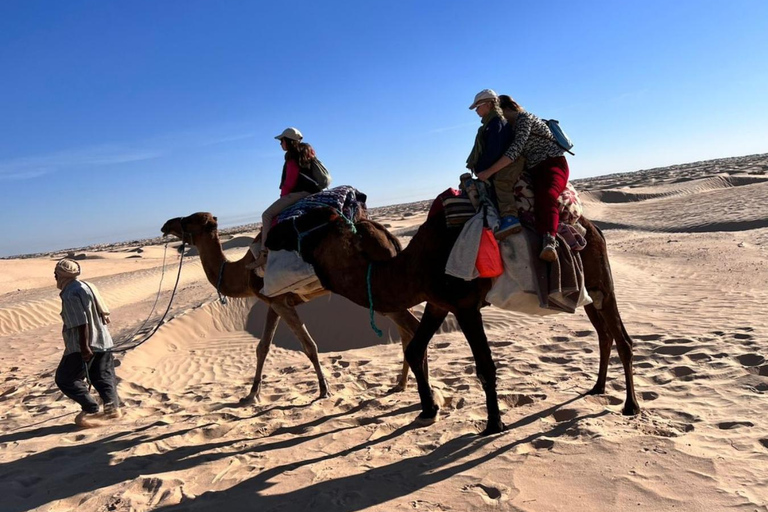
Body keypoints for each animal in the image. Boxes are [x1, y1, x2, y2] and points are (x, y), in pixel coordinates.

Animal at [158, 212, 416, 404]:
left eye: (189, 219)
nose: (166, 224)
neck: (242, 272)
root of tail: (383, 233)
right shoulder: (274, 302)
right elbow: (262, 347)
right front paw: (251, 395)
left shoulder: (280, 302)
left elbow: (309, 345)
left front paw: (324, 390)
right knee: (406, 330)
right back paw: (400, 385)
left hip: (364, 285)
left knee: (411, 327)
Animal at [284, 205, 640, 436]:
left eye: (320, 220)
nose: (279, 233)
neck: (414, 267)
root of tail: (594, 229)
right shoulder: (438, 303)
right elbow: (414, 348)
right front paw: (428, 410)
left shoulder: (466, 306)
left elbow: (484, 365)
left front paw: (494, 424)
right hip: (587, 293)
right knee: (604, 334)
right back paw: (597, 387)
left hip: (601, 281)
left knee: (622, 338)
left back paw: (630, 406)